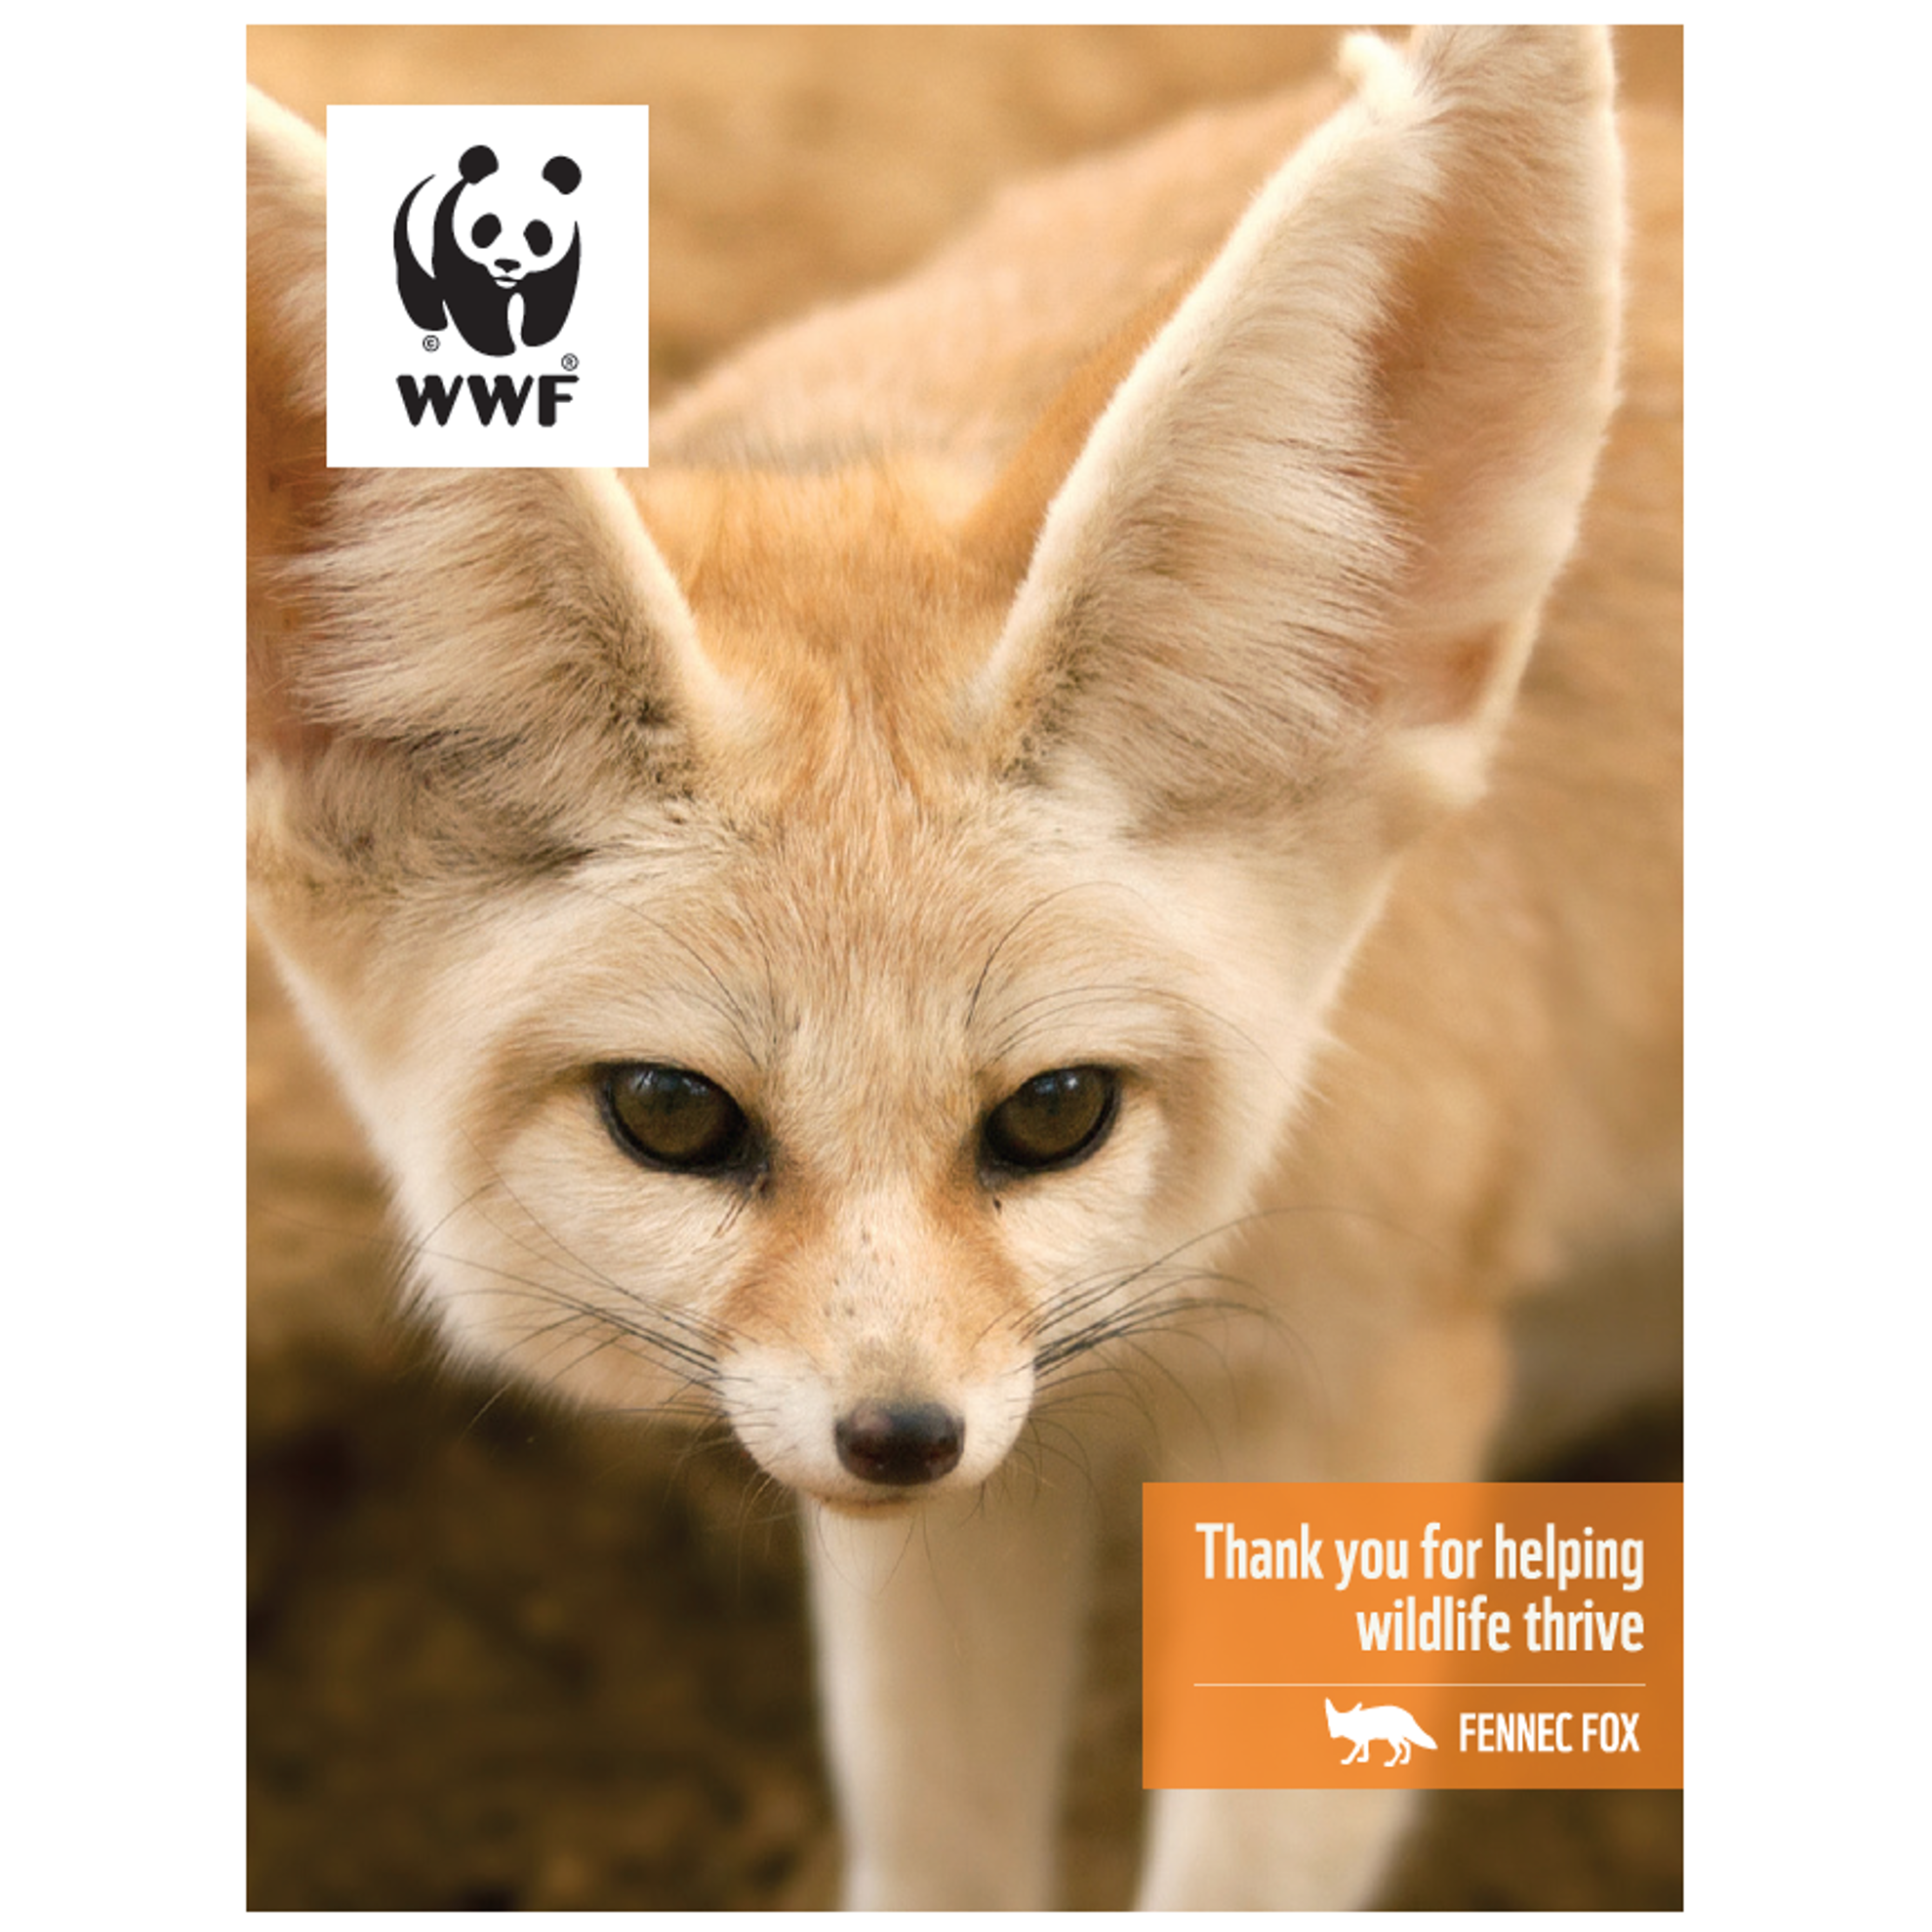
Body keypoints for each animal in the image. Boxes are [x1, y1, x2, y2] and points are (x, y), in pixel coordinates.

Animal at [247, 23, 1681, 1912]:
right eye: (670, 1117)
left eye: (1058, 1112)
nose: (901, 1435)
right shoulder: (965, 1482)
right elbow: (938, 1846)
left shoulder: (1357, 1390)